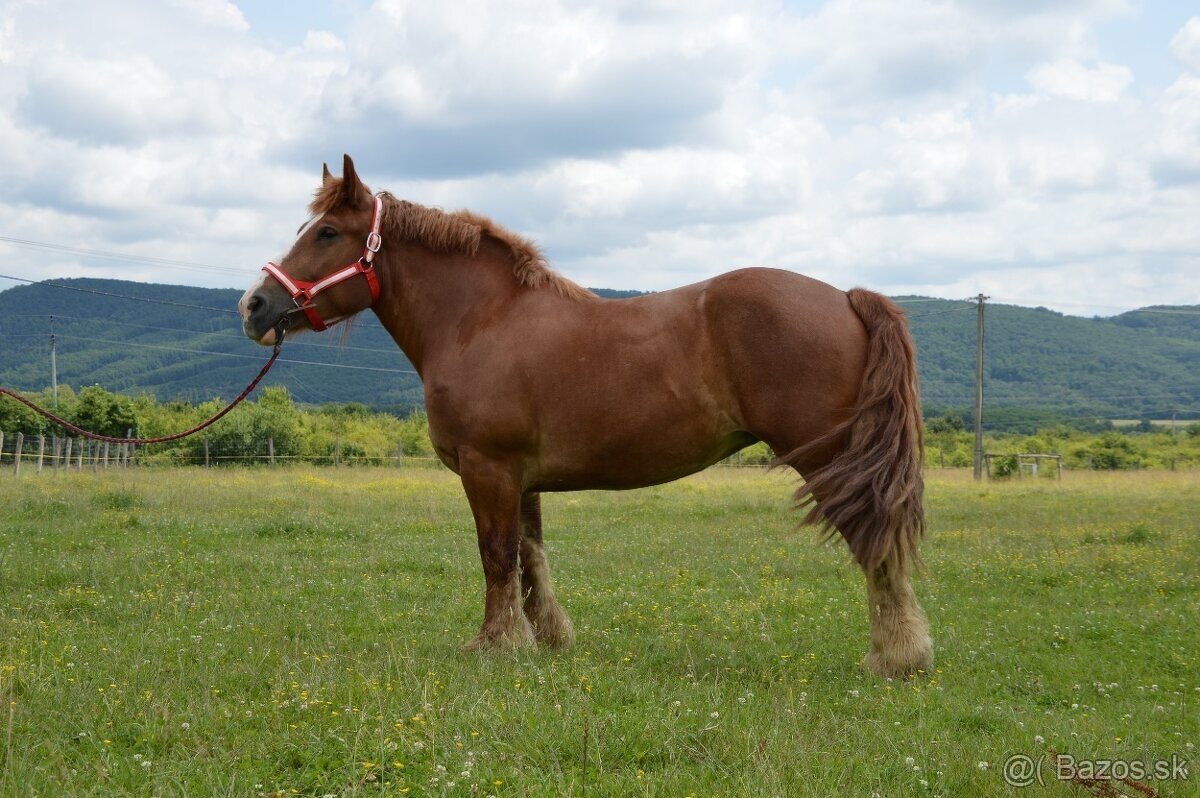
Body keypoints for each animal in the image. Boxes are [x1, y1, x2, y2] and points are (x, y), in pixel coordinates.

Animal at [243, 157, 931, 676]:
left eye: (327, 233)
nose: (253, 306)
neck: (481, 320)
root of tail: (845, 297)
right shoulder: (519, 478)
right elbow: (530, 556)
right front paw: (546, 637)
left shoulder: (488, 468)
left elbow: (496, 553)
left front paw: (496, 644)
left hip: (828, 459)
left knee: (873, 541)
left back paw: (896, 658)